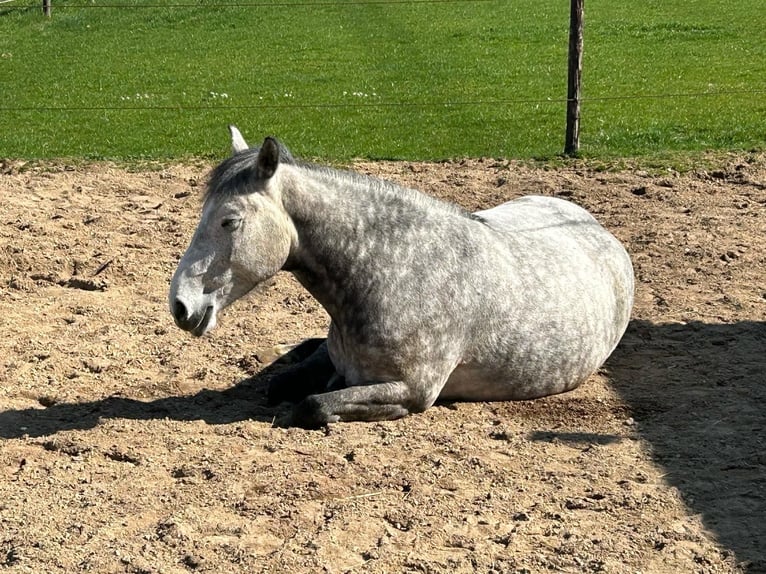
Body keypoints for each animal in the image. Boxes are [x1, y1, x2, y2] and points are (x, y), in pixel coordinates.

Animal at [169, 126, 634, 428]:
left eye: (230, 221)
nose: (181, 305)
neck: (394, 272)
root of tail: (596, 226)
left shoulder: (413, 390)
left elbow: (313, 406)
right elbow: (281, 383)